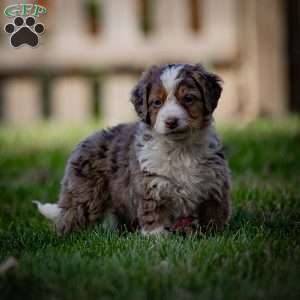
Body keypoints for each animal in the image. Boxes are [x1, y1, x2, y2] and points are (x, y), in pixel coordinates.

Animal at [35, 63, 232, 236]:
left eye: (189, 99)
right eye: (157, 102)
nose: (171, 121)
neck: (180, 149)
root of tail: (87, 139)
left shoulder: (214, 183)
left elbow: (214, 213)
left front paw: (215, 234)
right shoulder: (151, 184)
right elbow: (153, 214)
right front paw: (157, 238)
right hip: (85, 195)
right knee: (70, 216)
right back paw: (65, 236)